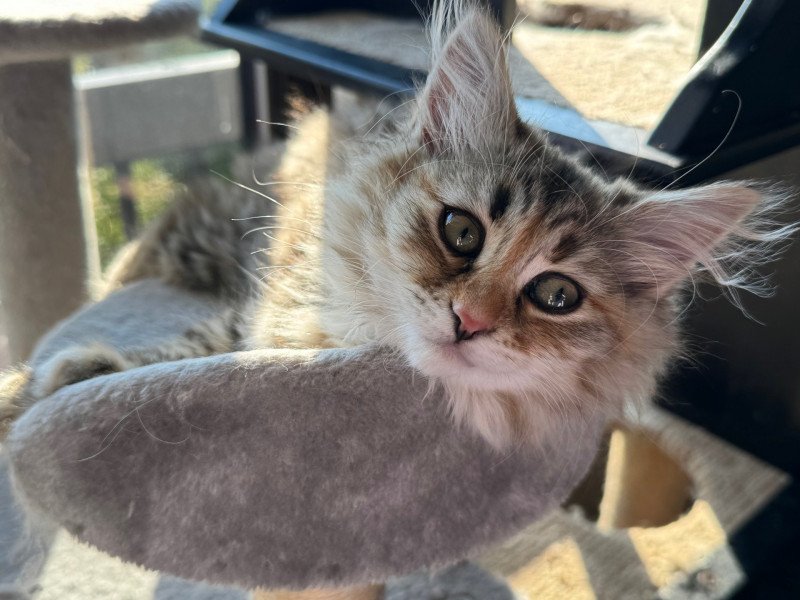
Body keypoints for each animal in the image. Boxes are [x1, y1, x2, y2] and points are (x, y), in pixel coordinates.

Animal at [3, 0, 792, 450]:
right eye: (462, 231)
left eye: (557, 296)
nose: (469, 322)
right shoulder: (272, 309)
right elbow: (191, 349)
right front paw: (48, 384)